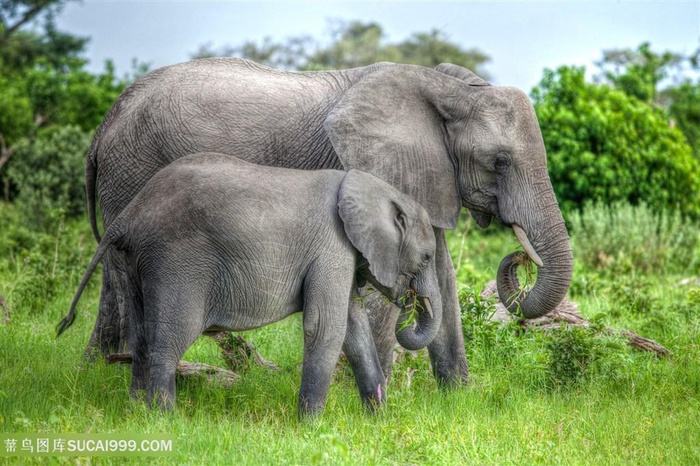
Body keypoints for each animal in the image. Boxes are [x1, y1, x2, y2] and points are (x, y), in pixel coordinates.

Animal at [60, 152, 442, 416]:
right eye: (426, 258)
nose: (409, 309)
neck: (370, 187)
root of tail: (130, 214)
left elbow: (353, 326)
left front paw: (378, 420)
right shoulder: (331, 247)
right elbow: (325, 327)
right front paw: (312, 426)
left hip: (135, 263)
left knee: (140, 334)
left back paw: (139, 415)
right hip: (175, 261)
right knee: (167, 338)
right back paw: (165, 421)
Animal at [85, 58, 572, 386]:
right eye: (500, 162)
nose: (519, 257)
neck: (450, 89)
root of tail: (104, 124)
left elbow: (444, 277)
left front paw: (457, 396)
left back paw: (97, 374)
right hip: (135, 170)